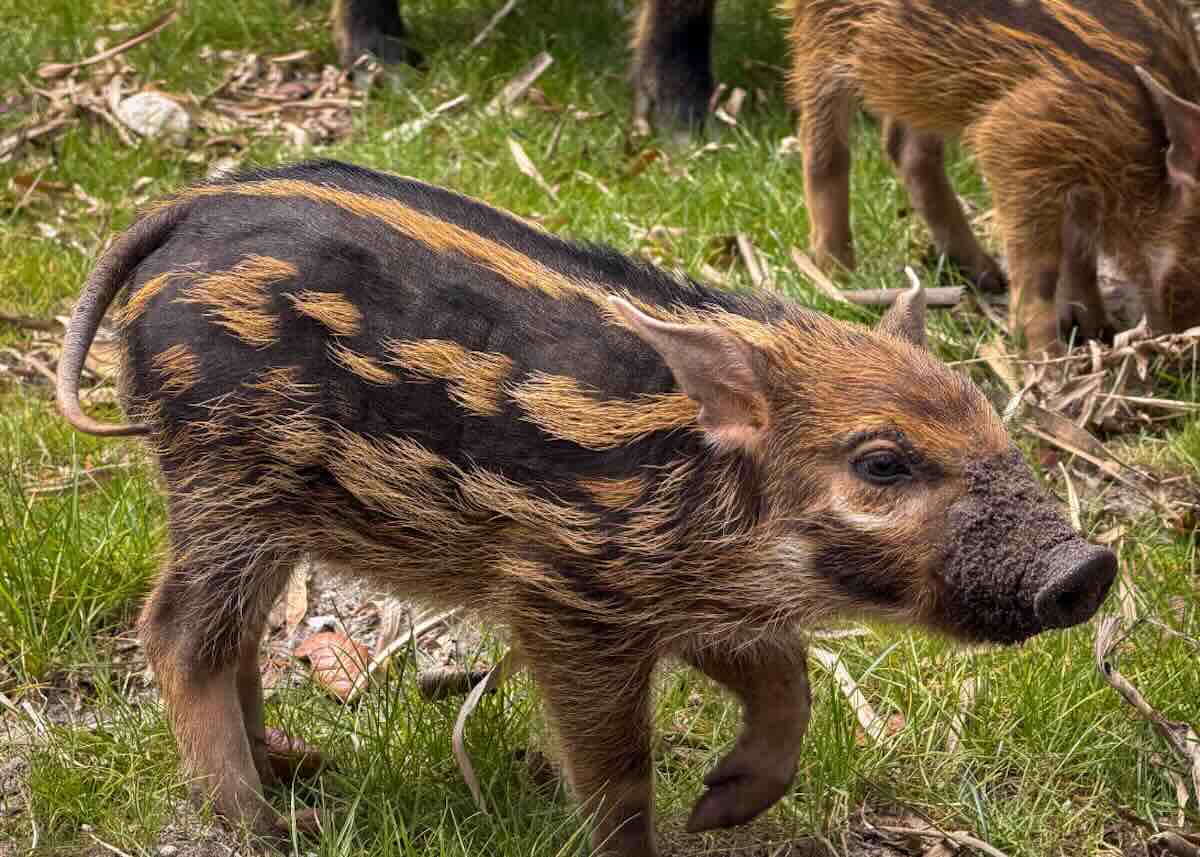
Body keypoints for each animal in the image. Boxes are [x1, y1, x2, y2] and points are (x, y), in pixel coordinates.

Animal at [56, 160, 1116, 857]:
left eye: (985, 414)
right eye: (882, 462)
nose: (1089, 567)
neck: (699, 494)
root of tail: (175, 219)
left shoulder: (694, 600)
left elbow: (788, 681)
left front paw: (718, 808)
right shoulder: (566, 597)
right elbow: (618, 766)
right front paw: (655, 836)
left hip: (263, 503)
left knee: (232, 634)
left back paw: (296, 764)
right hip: (224, 475)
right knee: (177, 629)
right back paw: (269, 824)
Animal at [789, 0, 1200, 354]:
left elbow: (1079, 244)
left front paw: (1096, 330)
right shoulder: (1016, 139)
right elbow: (1040, 272)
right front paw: (1048, 361)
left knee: (904, 148)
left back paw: (985, 275)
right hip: (826, 36)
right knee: (823, 144)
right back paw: (837, 272)